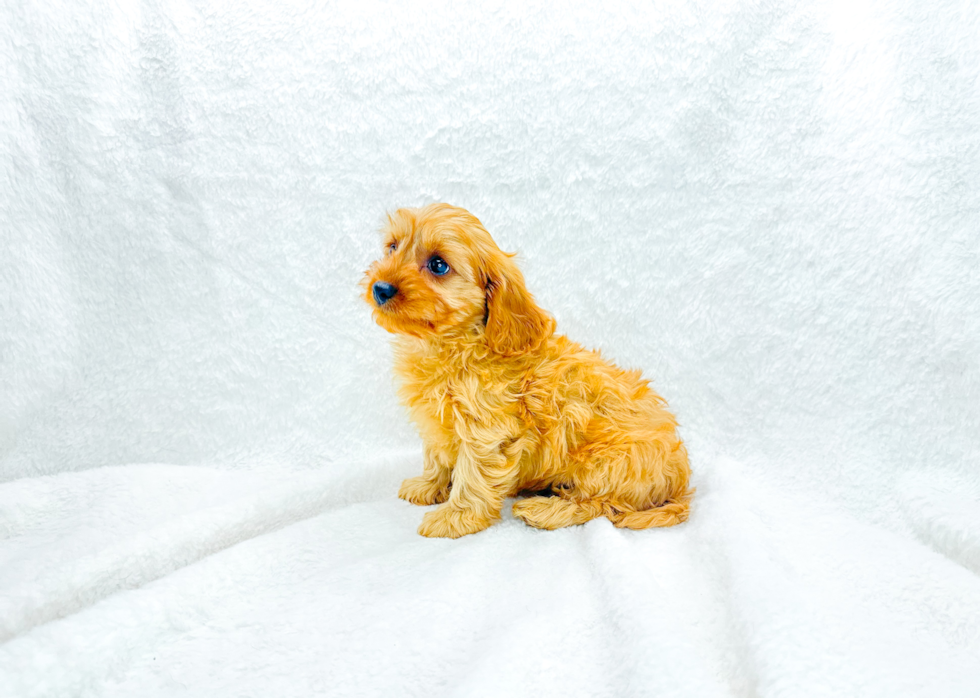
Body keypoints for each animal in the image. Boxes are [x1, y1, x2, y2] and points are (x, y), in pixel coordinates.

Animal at [364, 203, 692, 540]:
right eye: (392, 247)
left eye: (438, 265)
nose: (380, 288)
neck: (451, 345)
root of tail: (679, 482)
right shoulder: (436, 420)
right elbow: (437, 455)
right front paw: (429, 485)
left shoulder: (486, 430)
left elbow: (473, 474)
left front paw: (457, 517)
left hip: (606, 463)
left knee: (599, 506)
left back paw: (545, 510)